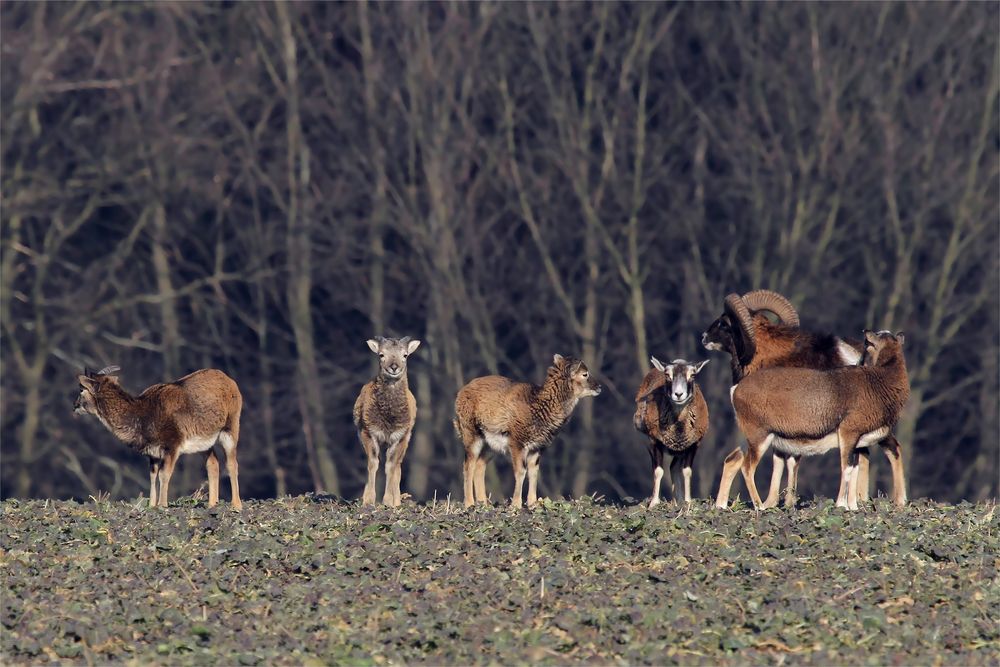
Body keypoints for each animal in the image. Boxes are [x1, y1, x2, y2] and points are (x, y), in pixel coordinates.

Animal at [73, 366, 244, 512]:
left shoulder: (172, 446)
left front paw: (162, 505)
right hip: (204, 443)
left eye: (81, 389)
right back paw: (211, 505)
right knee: (213, 464)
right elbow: (152, 476)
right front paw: (152, 506)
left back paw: (236, 505)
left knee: (232, 464)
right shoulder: (153, 454)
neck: (144, 414)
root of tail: (229, 381)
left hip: (230, 429)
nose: (74, 407)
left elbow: (164, 474)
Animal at [354, 336, 420, 508]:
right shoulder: (368, 431)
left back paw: (397, 500)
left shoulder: (400, 436)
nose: (394, 367)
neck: (388, 422)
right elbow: (373, 462)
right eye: (381, 354)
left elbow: (391, 466)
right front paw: (368, 500)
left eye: (405, 355)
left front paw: (389, 501)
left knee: (398, 466)